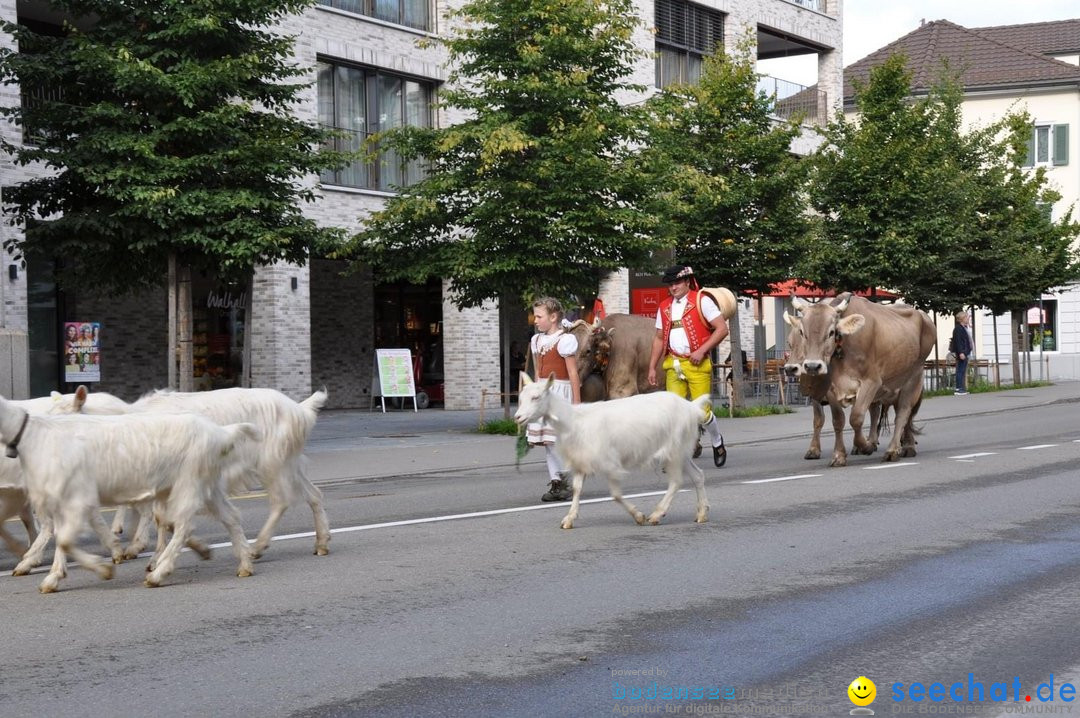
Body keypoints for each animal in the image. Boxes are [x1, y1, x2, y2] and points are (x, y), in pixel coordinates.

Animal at [0, 395, 259, 591]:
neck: (35, 436)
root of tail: (221, 432)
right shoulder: (61, 500)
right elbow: (60, 538)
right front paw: (52, 577)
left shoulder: (76, 498)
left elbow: (63, 539)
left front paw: (104, 567)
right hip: (208, 485)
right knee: (230, 517)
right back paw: (245, 564)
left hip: (188, 483)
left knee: (183, 525)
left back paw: (158, 573)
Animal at [62, 386, 328, 552]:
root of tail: (300, 410)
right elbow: (156, 515)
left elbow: (157, 515)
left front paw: (145, 548)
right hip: (290, 463)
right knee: (314, 494)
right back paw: (322, 543)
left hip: (272, 463)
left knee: (281, 500)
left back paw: (257, 547)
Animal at [511, 371, 712, 529]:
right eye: (521, 398)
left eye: (536, 397)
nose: (517, 417)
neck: (575, 420)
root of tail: (691, 407)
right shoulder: (582, 460)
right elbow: (577, 489)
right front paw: (569, 519)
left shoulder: (608, 462)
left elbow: (615, 495)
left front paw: (638, 516)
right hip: (681, 450)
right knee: (698, 475)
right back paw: (702, 514)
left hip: (674, 449)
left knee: (676, 481)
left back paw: (657, 514)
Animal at [781, 293, 933, 464]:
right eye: (801, 333)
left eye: (831, 332)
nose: (812, 366)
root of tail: (922, 315)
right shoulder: (828, 390)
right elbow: (835, 420)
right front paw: (838, 455)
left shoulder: (871, 382)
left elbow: (856, 417)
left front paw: (865, 446)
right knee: (878, 412)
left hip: (913, 379)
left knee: (903, 413)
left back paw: (898, 449)